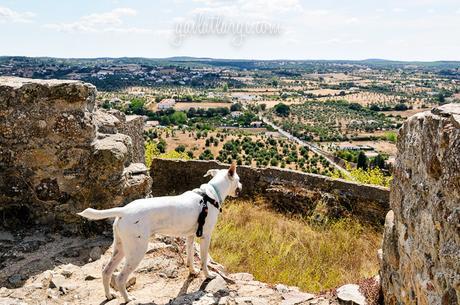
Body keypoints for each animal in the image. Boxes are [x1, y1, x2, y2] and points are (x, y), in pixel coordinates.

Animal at [77, 163, 243, 300]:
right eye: (239, 179)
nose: (241, 185)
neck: (211, 194)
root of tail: (123, 210)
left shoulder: (190, 236)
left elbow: (190, 256)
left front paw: (192, 271)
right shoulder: (206, 236)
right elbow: (203, 259)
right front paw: (208, 275)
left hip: (121, 247)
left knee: (106, 271)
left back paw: (109, 295)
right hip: (137, 251)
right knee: (120, 278)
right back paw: (128, 299)